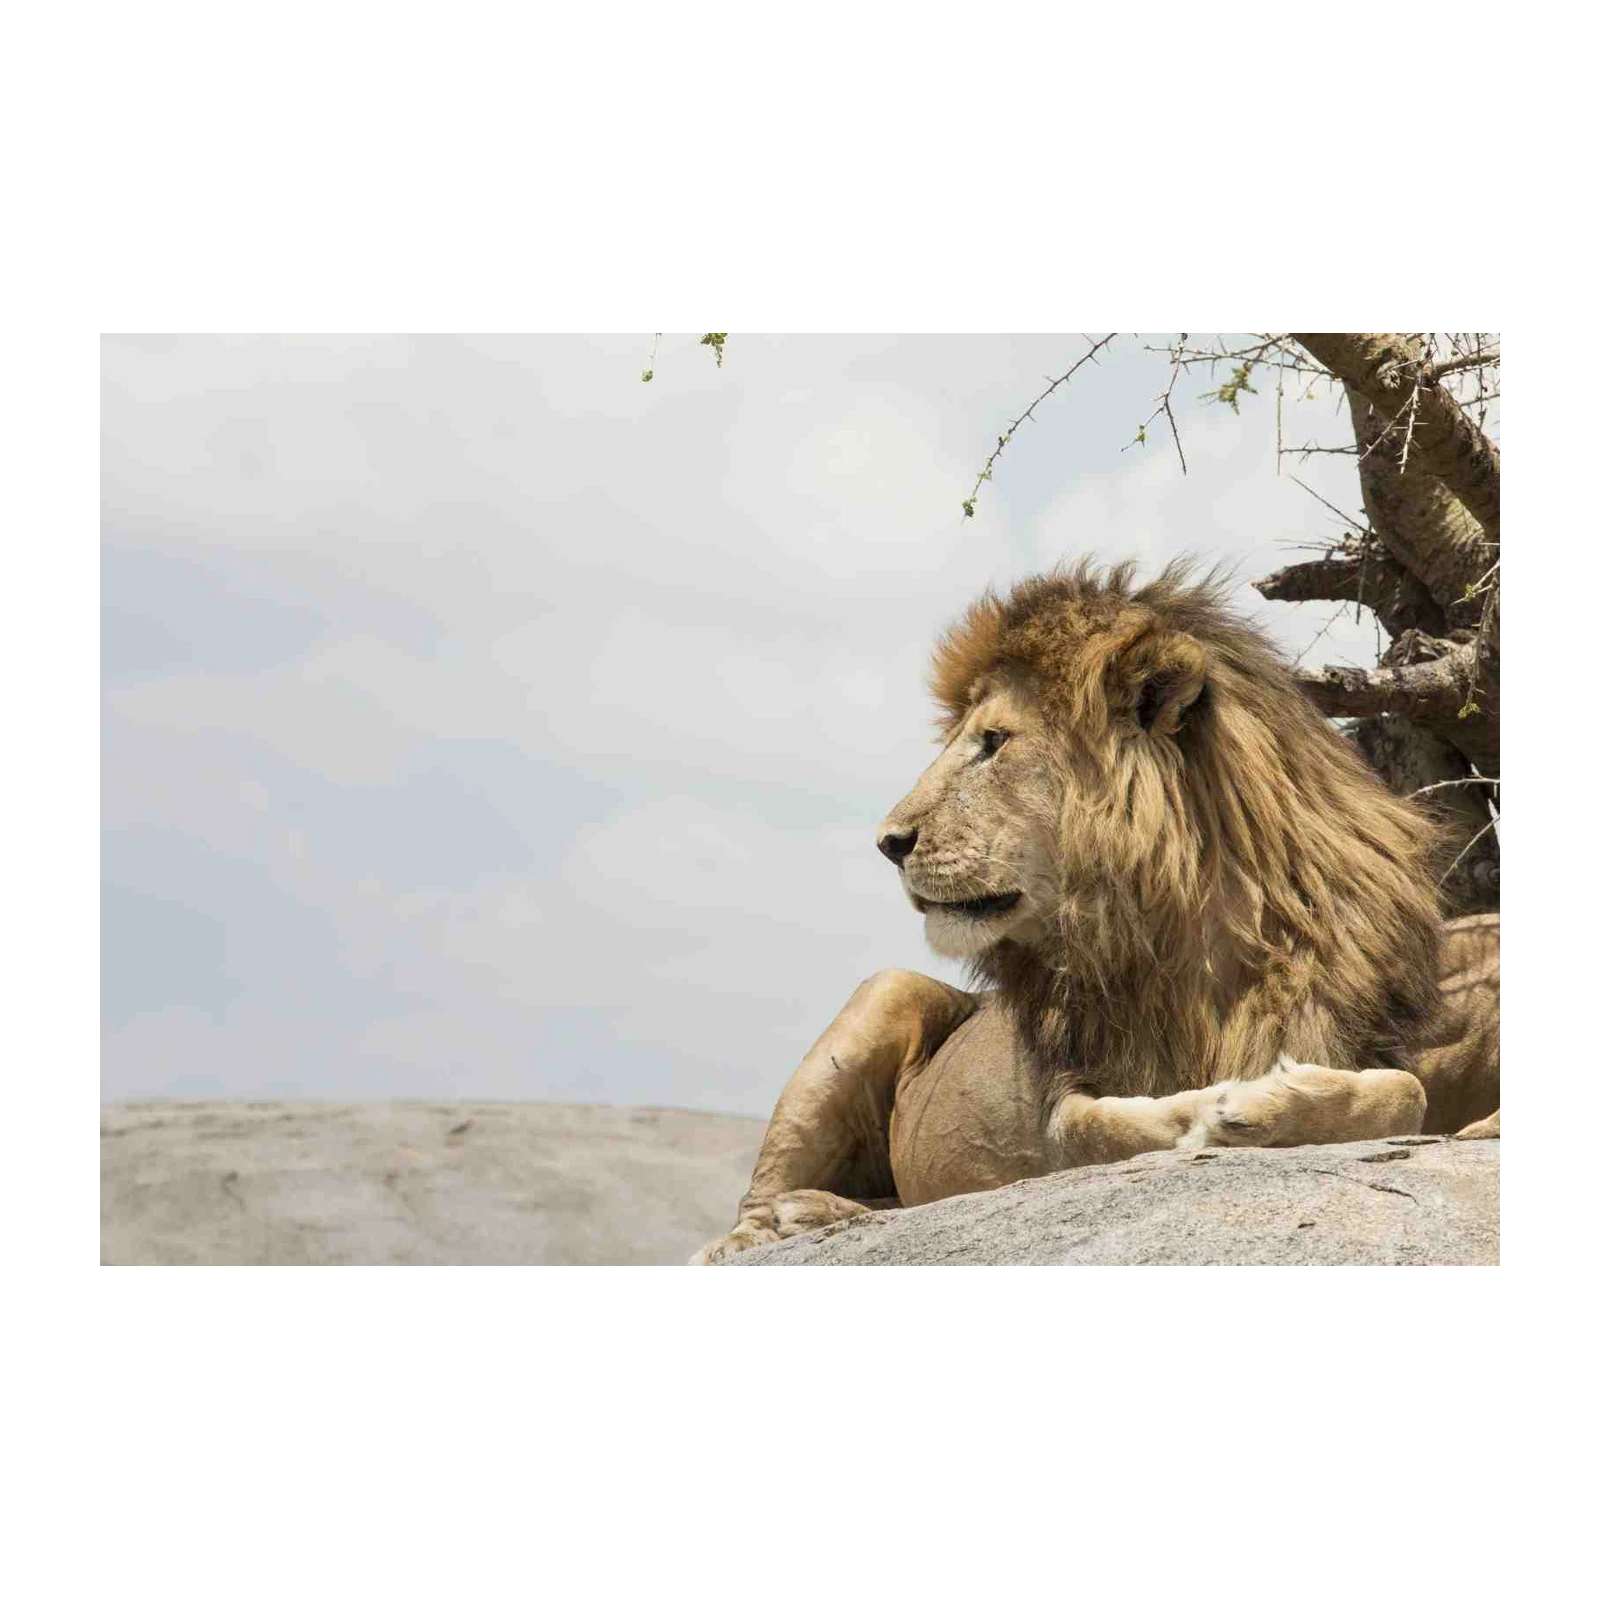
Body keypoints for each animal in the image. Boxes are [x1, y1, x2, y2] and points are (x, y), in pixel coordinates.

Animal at [690, 559, 1502, 1266]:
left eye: (992, 742)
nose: (889, 842)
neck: (1193, 933)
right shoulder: (1064, 1100)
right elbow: (1100, 1127)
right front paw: (1214, 1112)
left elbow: (1405, 1093)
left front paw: (1269, 1103)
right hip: (886, 992)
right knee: (749, 1206)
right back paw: (785, 1221)